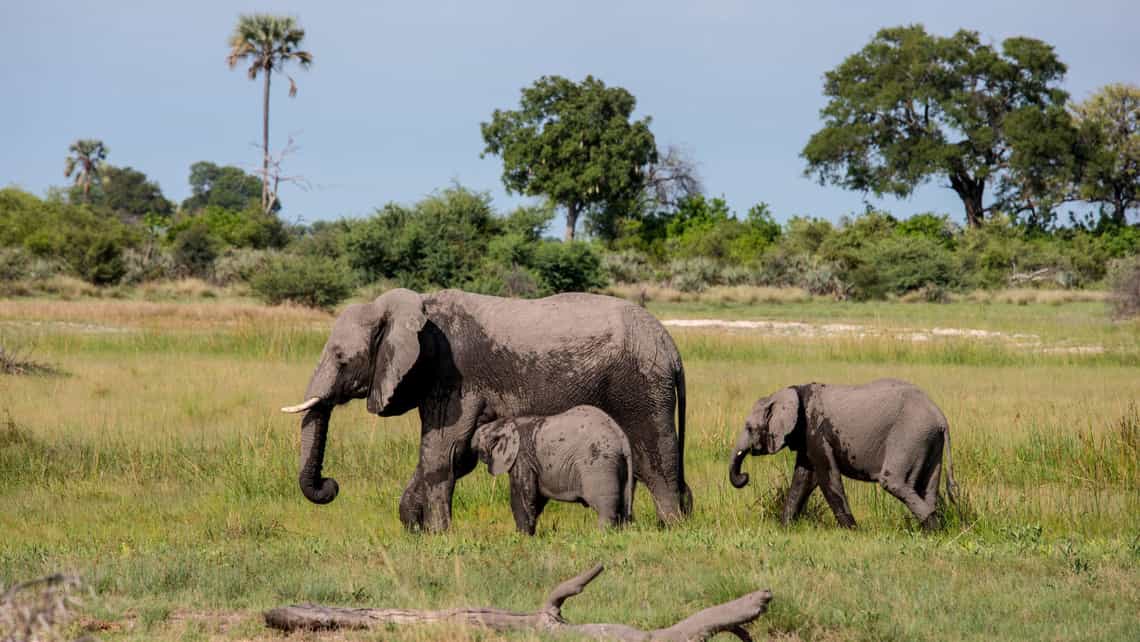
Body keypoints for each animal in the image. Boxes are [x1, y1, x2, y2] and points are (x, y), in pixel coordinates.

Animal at [469, 403, 633, 535]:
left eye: (479, 441)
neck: (508, 423)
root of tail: (622, 440)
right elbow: (536, 499)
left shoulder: (521, 457)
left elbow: (522, 497)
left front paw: (521, 537)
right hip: (618, 466)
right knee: (623, 506)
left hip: (599, 463)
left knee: (606, 508)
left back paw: (601, 535)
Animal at [729, 378, 953, 529]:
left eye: (749, 428)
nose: (745, 477)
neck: (790, 393)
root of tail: (940, 417)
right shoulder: (807, 436)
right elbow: (804, 479)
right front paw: (785, 528)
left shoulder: (816, 430)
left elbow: (827, 476)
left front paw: (852, 531)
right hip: (929, 441)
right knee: (927, 488)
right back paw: (933, 531)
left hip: (910, 435)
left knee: (895, 482)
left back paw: (931, 530)